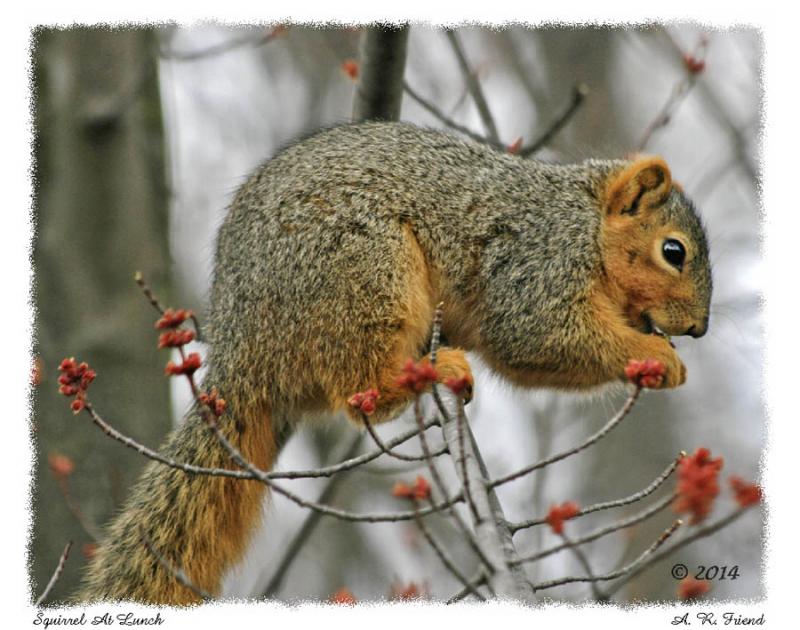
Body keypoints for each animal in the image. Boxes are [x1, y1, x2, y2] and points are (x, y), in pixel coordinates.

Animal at [76, 121, 711, 603]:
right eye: (672, 251)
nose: (699, 329)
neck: (586, 221)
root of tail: (241, 349)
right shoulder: (535, 262)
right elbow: (537, 336)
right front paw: (659, 356)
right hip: (364, 272)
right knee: (362, 392)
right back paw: (426, 375)